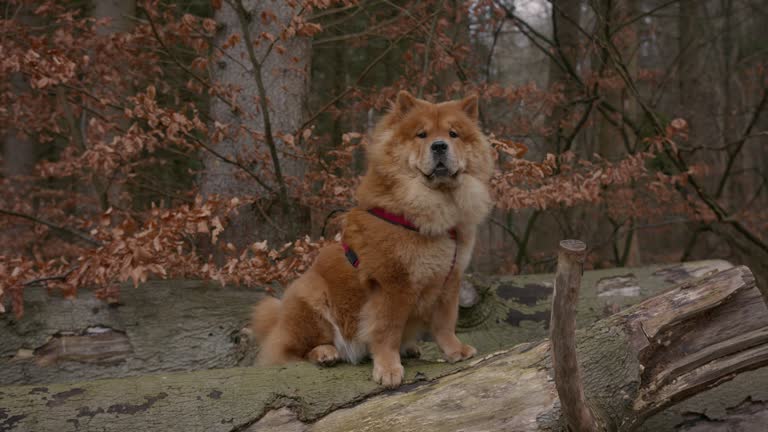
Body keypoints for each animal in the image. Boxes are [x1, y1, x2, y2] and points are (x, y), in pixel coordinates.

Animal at [249, 91, 496, 388]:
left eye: (453, 134)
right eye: (422, 134)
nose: (439, 146)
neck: (436, 206)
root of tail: (279, 319)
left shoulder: (449, 279)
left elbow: (445, 323)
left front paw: (455, 351)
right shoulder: (391, 284)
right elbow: (387, 329)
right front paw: (388, 369)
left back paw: (409, 347)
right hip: (312, 297)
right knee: (290, 352)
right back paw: (325, 352)